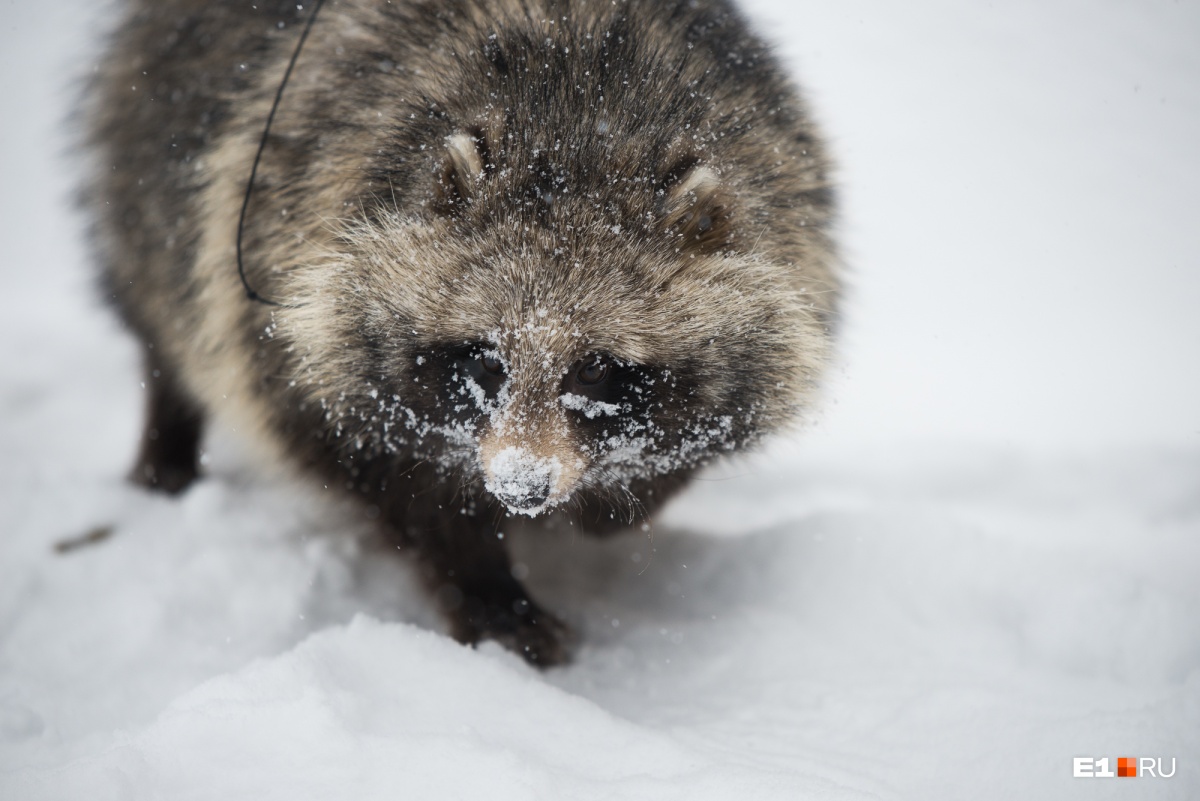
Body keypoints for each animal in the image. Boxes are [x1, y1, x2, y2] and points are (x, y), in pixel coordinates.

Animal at [84, 0, 840, 661]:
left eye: (594, 367)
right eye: (484, 358)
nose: (522, 489)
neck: (576, 127)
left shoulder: (789, 214)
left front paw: (614, 500)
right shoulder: (289, 259)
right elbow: (381, 467)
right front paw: (486, 589)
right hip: (149, 168)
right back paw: (167, 442)